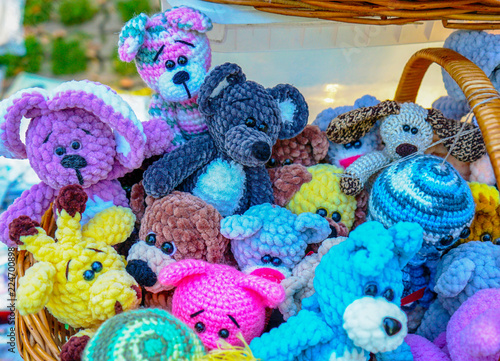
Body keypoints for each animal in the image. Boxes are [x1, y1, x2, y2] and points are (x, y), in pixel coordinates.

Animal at [143, 62, 308, 215]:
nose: (263, 150)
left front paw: (263, 211)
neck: (230, 159)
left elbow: (261, 191)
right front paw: (155, 181)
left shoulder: (256, 172)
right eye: (249, 121)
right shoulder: (206, 145)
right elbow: (179, 159)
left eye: (264, 127)